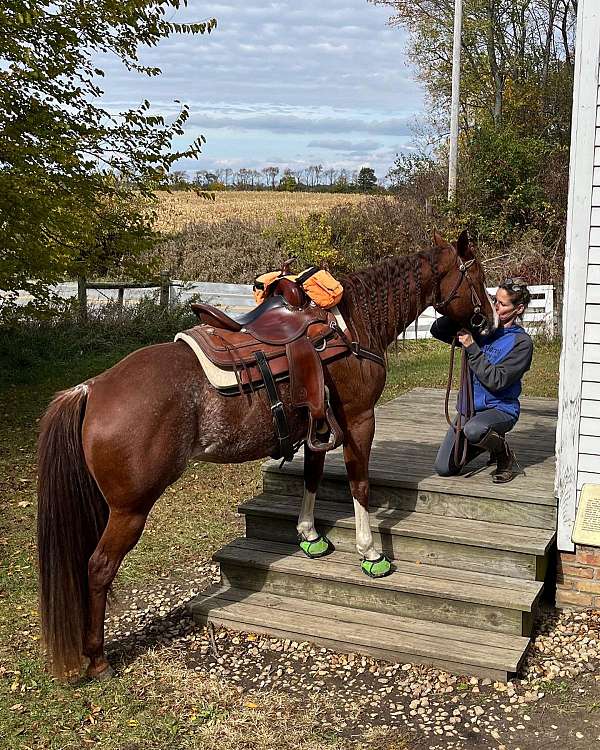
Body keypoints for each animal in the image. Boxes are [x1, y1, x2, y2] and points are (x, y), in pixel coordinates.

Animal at [36, 231, 496, 680]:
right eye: (477, 276)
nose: (489, 322)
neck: (351, 326)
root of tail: (92, 388)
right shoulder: (360, 421)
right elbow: (360, 485)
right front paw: (371, 554)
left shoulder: (320, 424)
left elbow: (312, 477)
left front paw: (310, 535)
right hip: (129, 510)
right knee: (97, 567)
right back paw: (97, 660)